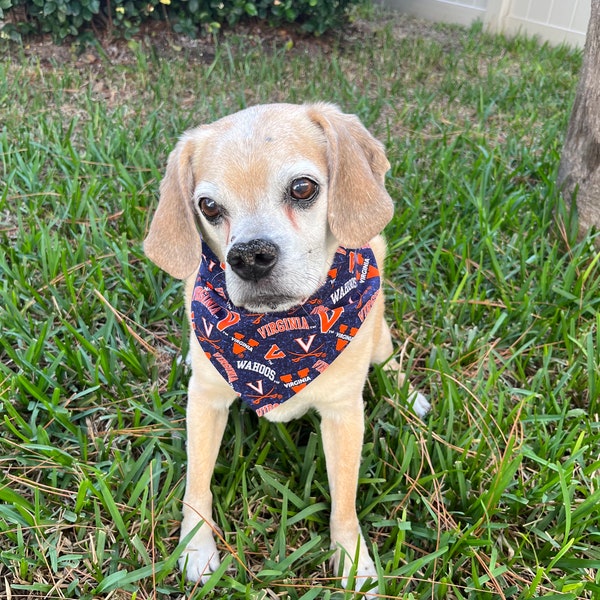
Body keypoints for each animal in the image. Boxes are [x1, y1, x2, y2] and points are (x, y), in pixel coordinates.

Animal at [143, 101, 428, 592]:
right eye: (208, 206)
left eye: (302, 188)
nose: (249, 256)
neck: (278, 335)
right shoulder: (205, 402)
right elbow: (196, 482)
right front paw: (196, 547)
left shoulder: (344, 414)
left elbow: (345, 502)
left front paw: (352, 560)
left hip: (378, 336)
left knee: (389, 360)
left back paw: (410, 396)